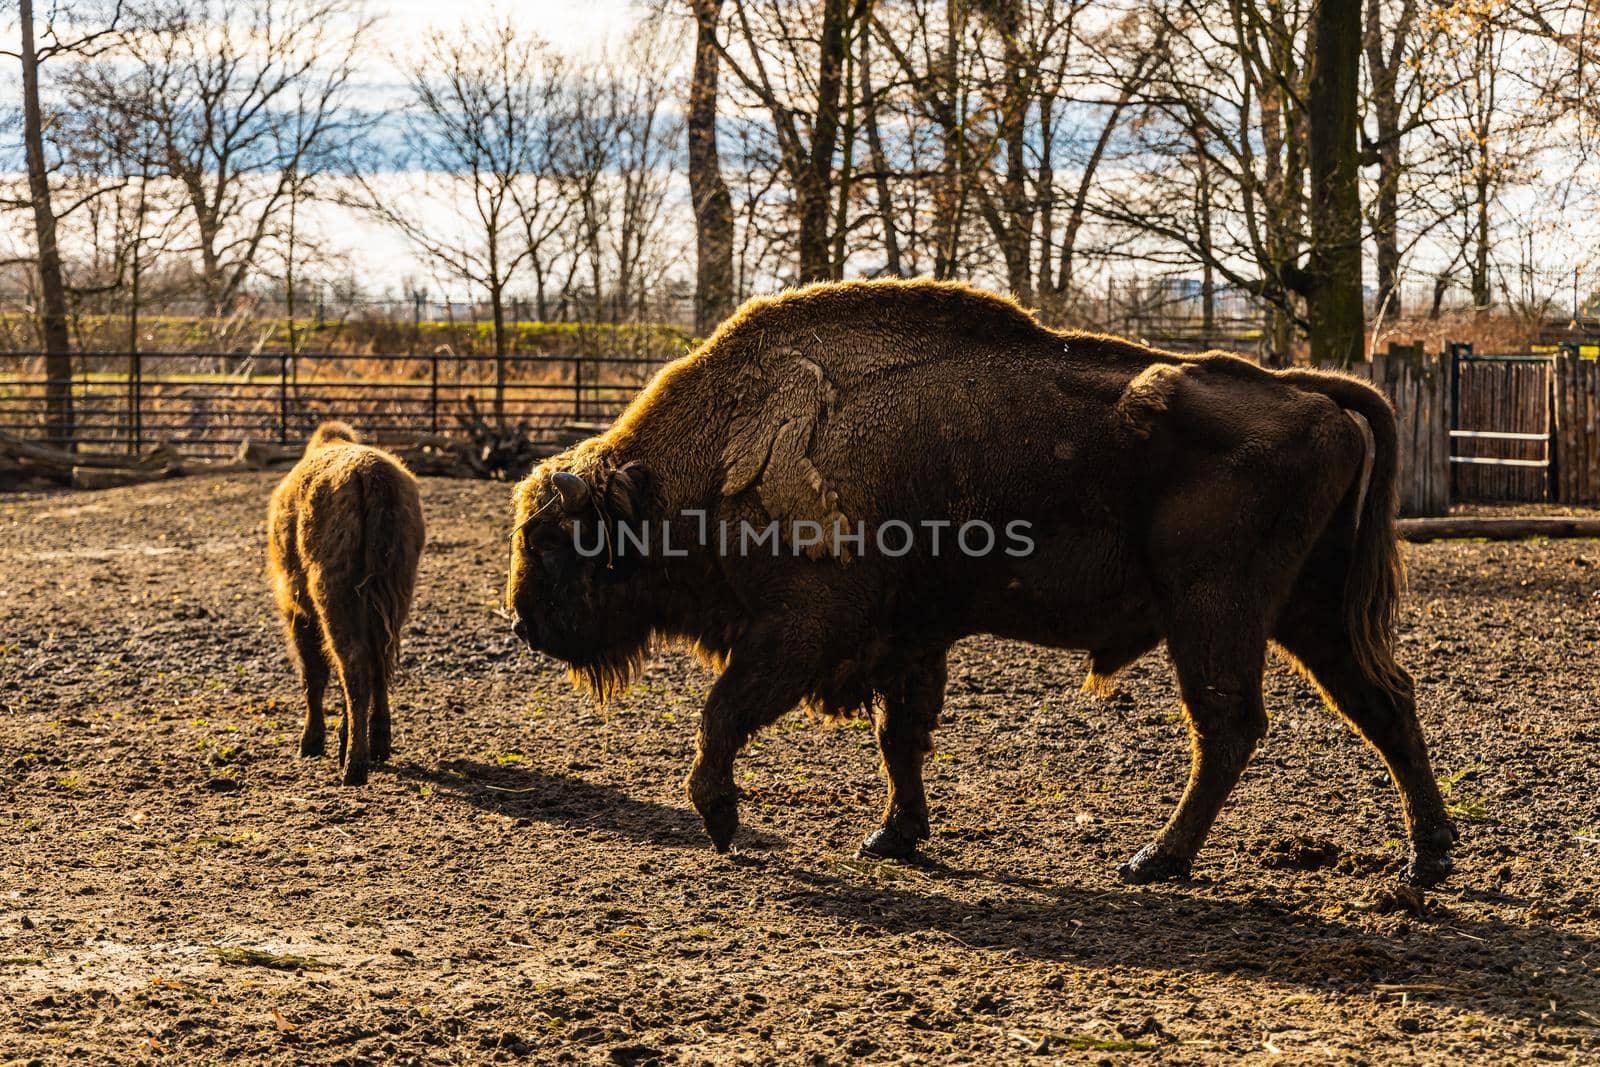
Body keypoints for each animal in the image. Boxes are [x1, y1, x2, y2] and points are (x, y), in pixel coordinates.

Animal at [272, 422, 428, 783]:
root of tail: (371, 474)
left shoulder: (297, 608)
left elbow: (313, 673)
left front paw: (311, 742)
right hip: (393, 595)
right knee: (379, 663)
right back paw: (378, 745)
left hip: (334, 598)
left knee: (353, 666)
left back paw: (353, 767)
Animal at [505, 279, 1459, 889]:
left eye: (555, 539)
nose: (521, 623)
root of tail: (1312, 393)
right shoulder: (910, 639)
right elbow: (900, 737)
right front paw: (891, 836)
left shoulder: (801, 630)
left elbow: (724, 711)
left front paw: (721, 820)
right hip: (1307, 612)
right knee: (1383, 702)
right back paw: (1430, 858)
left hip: (1215, 613)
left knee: (1228, 728)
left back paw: (1155, 860)